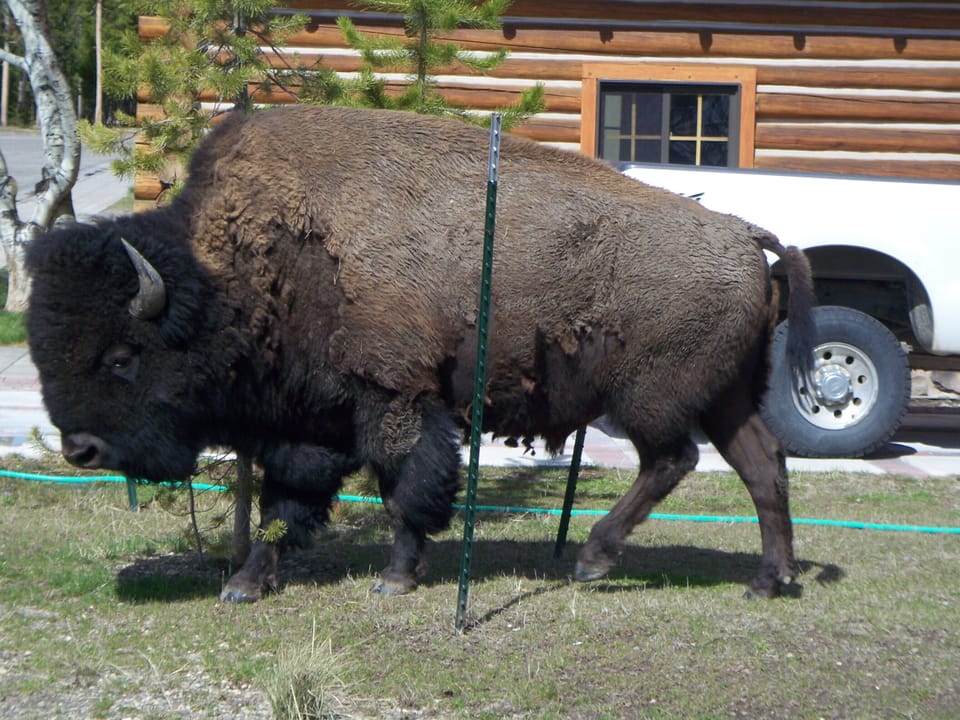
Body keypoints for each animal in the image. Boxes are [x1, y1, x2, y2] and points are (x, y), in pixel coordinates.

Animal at [26, 105, 815, 602]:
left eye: (122, 355)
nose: (81, 450)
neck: (254, 267)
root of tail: (743, 233)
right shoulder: (309, 420)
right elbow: (290, 502)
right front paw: (246, 584)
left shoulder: (395, 397)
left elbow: (405, 487)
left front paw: (395, 577)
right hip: (725, 395)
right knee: (762, 465)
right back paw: (767, 581)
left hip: (653, 397)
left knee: (673, 460)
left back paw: (593, 559)